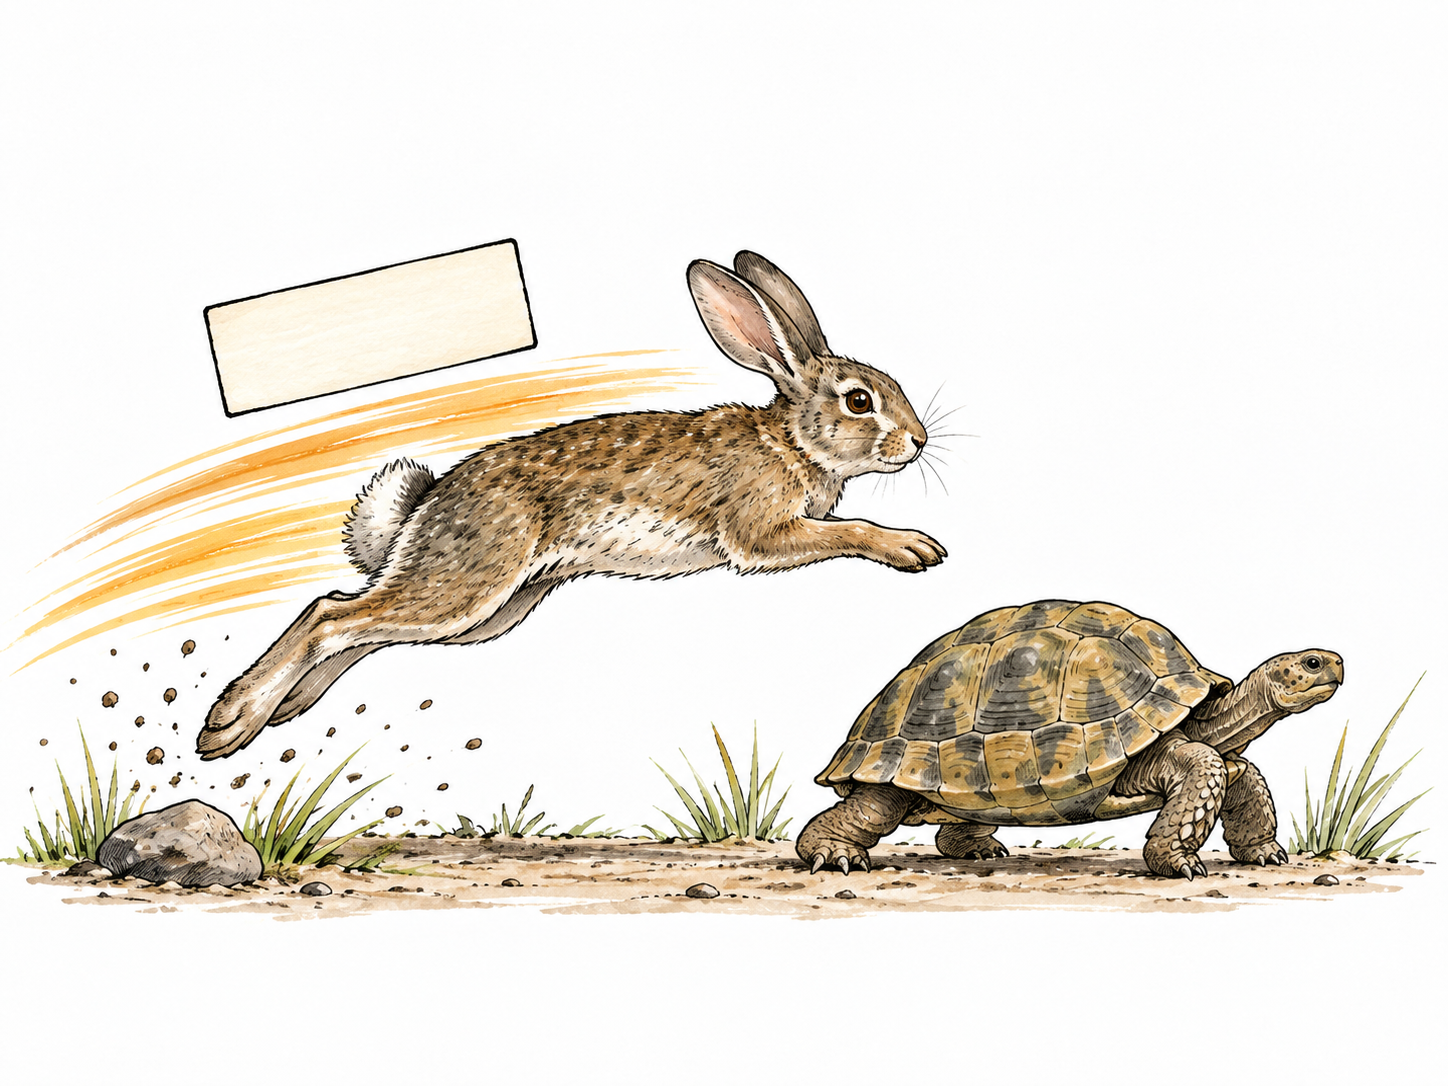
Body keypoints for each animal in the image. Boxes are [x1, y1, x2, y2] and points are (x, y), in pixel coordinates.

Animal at [196, 250, 947, 759]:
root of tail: (427, 503)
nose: (918, 440)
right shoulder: (761, 533)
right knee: (331, 614)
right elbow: (848, 528)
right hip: (471, 583)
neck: (790, 441)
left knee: (359, 627)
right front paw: (914, 548)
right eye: (859, 401)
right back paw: (229, 722)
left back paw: (279, 709)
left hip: (490, 612)